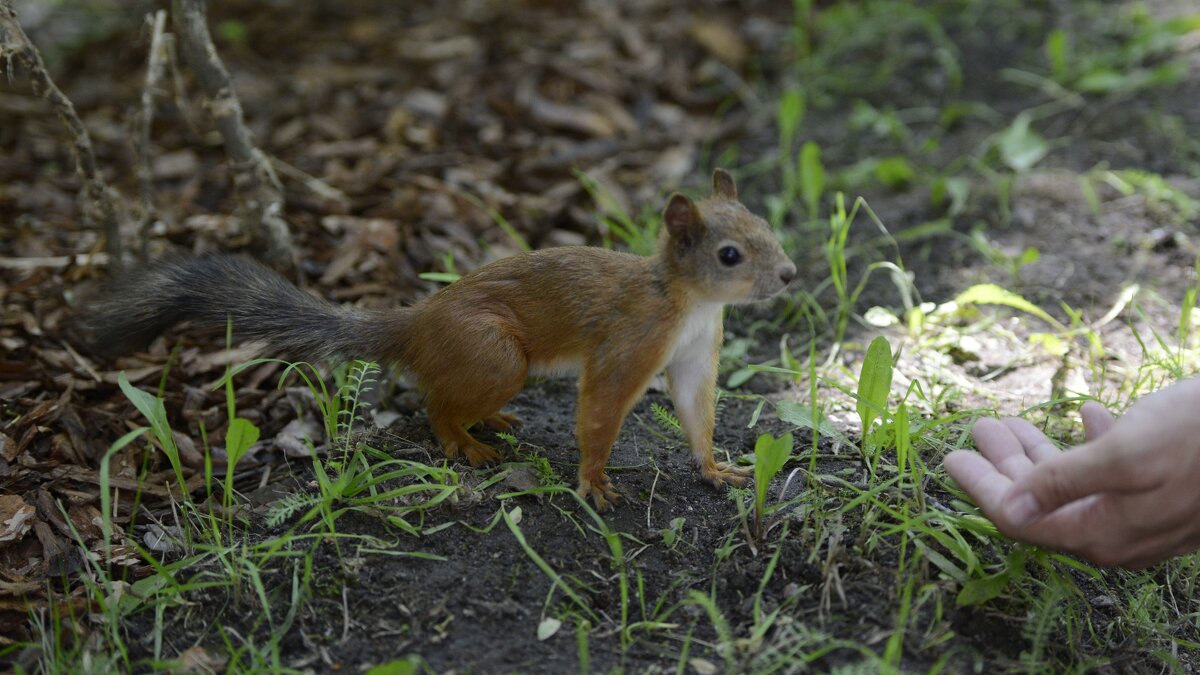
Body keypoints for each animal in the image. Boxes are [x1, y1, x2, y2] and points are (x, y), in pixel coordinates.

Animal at [82, 168, 796, 504]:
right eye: (730, 254)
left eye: (767, 224)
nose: (789, 275)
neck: (689, 303)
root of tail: (417, 322)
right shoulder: (627, 345)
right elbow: (598, 414)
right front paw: (593, 482)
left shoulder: (695, 356)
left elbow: (696, 414)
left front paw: (715, 469)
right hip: (495, 354)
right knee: (434, 405)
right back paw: (467, 443)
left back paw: (493, 423)